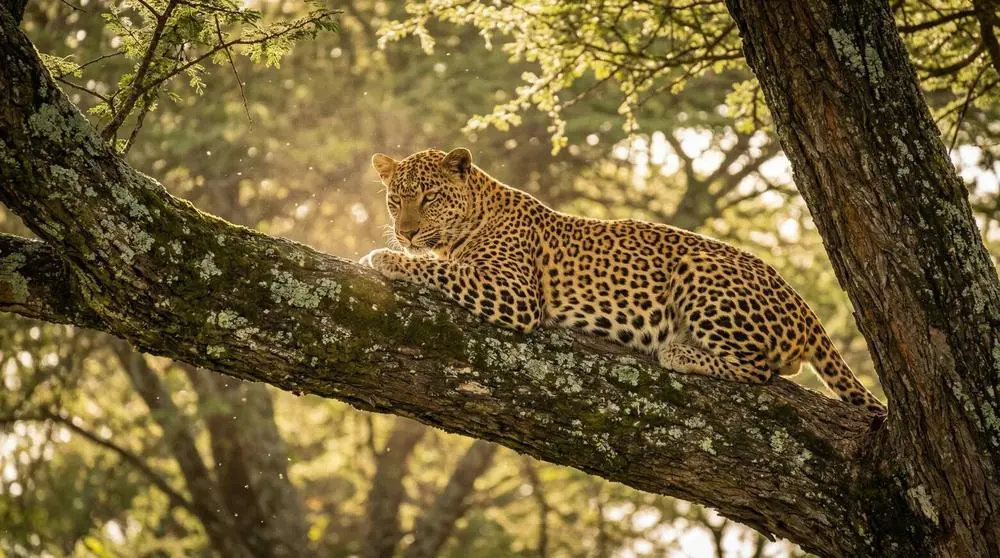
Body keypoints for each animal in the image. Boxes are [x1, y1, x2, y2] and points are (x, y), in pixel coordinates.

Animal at [360, 147, 887, 416]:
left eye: (428, 198)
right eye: (395, 200)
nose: (405, 232)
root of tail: (805, 307)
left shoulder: (514, 293)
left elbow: (443, 270)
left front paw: (384, 257)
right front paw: (392, 251)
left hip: (699, 269)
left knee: (763, 369)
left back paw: (679, 351)